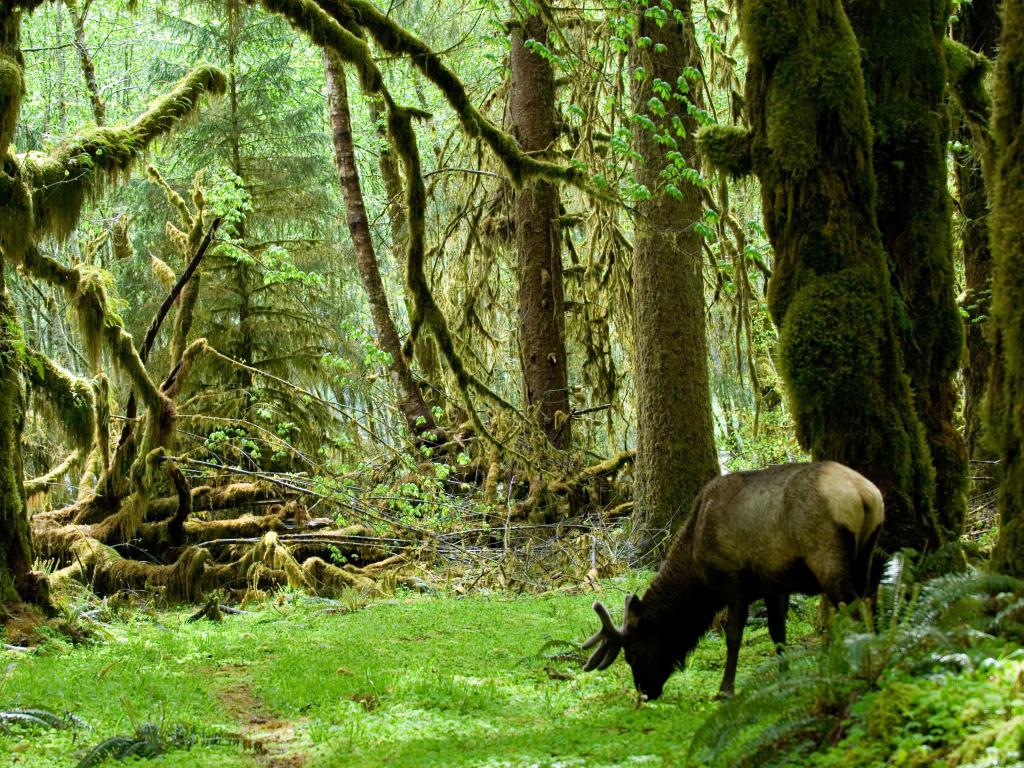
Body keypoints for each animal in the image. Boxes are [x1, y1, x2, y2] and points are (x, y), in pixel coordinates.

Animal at [585, 462, 888, 704]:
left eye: (632, 654)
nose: (646, 692)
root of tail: (866, 495)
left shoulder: (734, 580)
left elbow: (733, 636)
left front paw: (725, 690)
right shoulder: (775, 585)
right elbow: (778, 633)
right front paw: (785, 681)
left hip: (826, 556)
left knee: (856, 609)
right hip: (867, 554)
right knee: (870, 601)